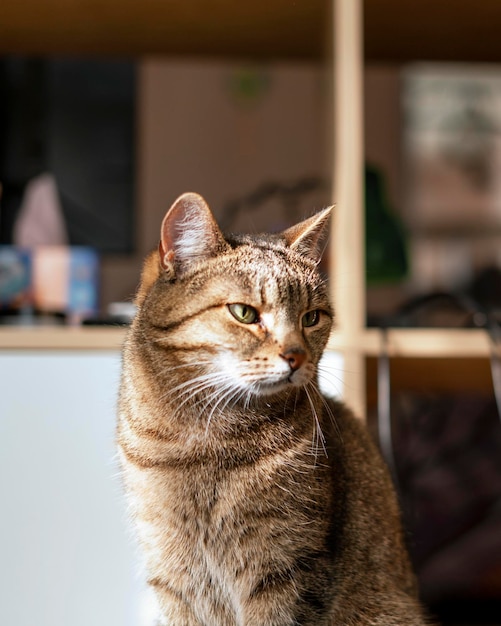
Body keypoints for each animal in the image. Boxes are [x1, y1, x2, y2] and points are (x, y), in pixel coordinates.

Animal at [116, 193, 426, 620]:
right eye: (244, 313)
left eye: (311, 318)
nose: (296, 356)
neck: (199, 442)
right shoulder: (171, 572)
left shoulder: (286, 568)